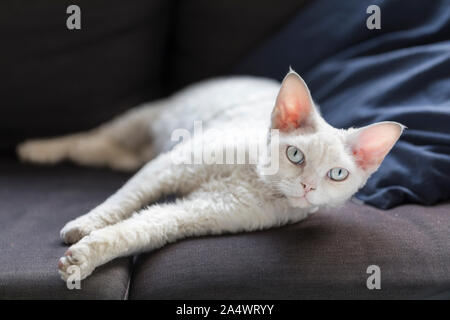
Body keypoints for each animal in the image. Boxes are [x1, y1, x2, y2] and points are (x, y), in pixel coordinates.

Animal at [17, 70, 404, 280]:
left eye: (337, 174)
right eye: (295, 155)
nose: (308, 186)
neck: (254, 179)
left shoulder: (203, 211)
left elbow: (142, 227)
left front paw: (81, 259)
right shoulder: (168, 167)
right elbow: (122, 200)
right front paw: (84, 225)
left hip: (135, 149)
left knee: (103, 150)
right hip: (141, 119)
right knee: (89, 138)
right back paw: (37, 149)